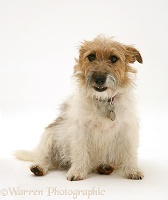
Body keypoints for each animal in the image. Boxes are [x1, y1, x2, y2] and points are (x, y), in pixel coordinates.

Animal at [13, 36, 144, 181]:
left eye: (114, 58)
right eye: (91, 56)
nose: (99, 79)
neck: (102, 100)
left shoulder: (127, 130)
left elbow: (129, 152)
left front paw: (132, 170)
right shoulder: (80, 130)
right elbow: (80, 151)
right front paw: (77, 171)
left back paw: (104, 167)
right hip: (50, 136)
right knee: (46, 158)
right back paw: (39, 168)